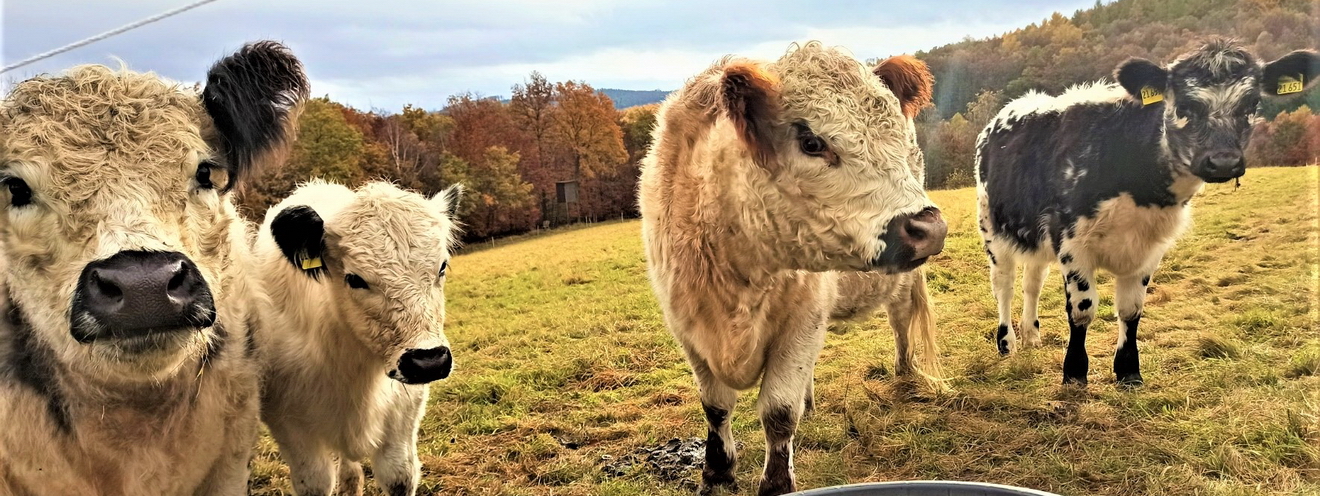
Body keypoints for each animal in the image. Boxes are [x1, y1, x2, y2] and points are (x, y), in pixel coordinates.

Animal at [254, 180, 467, 496]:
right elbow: (316, 482)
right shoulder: (291, 428)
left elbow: (399, 476)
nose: (429, 362)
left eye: (442, 267)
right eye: (355, 279)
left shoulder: (404, 416)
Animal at [638, 43, 950, 496]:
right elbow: (715, 407)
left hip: (900, 284)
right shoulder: (687, 328)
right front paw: (717, 472)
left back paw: (904, 370)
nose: (930, 228)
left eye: (896, 134)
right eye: (811, 142)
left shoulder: (802, 319)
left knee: (900, 324)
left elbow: (778, 413)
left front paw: (775, 483)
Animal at [976, 38, 1314, 387]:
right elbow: (1083, 308)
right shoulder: (1072, 240)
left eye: (1251, 105)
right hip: (992, 230)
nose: (1223, 162)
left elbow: (1131, 310)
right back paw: (1007, 343)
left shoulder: (1150, 246)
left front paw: (1128, 370)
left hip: (1036, 238)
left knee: (1033, 282)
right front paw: (1074, 372)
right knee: (1004, 285)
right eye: (1183, 107)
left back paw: (1031, 335)